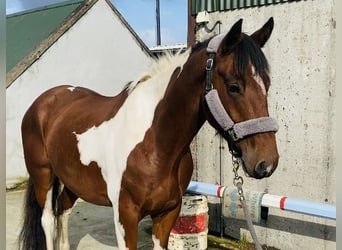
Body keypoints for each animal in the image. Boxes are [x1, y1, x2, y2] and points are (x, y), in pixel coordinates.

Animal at [18, 18, 280, 250]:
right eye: (234, 86)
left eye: (267, 84)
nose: (266, 163)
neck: (155, 143)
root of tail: (43, 101)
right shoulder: (125, 216)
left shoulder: (167, 213)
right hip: (43, 175)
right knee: (48, 220)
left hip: (73, 181)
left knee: (63, 211)